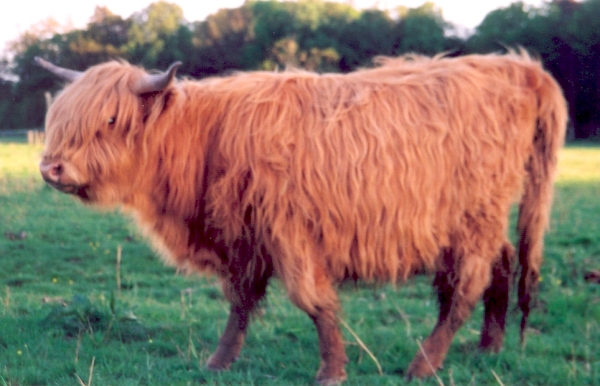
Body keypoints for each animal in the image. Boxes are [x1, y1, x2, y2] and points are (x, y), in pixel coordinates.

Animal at [37, 52, 568, 384]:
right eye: (59, 118)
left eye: (109, 119)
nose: (50, 168)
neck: (204, 139)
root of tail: (516, 67)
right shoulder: (243, 238)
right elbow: (240, 305)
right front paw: (218, 362)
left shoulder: (289, 232)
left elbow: (313, 302)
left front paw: (332, 370)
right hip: (477, 221)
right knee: (503, 263)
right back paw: (488, 348)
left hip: (474, 219)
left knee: (465, 287)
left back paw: (423, 365)